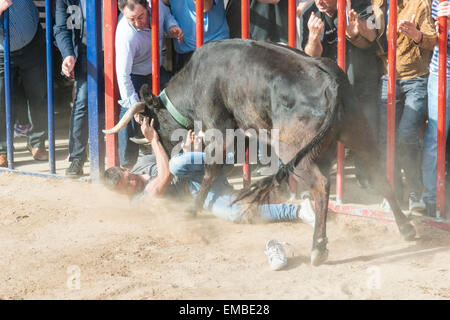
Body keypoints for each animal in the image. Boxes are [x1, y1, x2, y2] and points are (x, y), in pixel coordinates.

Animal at [103, 38, 416, 266]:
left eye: (155, 124)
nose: (167, 158)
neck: (195, 77)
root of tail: (331, 80)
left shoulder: (218, 127)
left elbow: (212, 168)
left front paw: (192, 209)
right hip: (359, 132)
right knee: (379, 173)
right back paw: (406, 228)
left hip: (292, 148)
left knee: (321, 184)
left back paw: (318, 247)